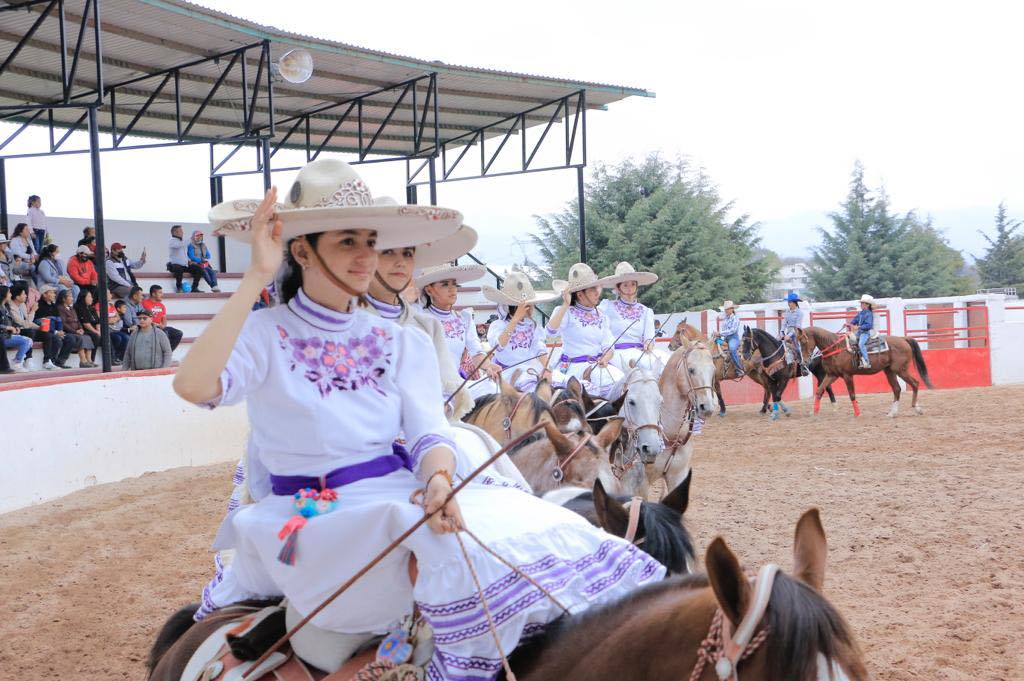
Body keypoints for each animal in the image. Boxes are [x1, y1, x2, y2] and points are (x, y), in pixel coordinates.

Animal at [802, 327, 933, 417]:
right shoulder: (832, 375)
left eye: (803, 341)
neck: (836, 348)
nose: (805, 361)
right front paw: (814, 412)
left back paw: (917, 408)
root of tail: (903, 339)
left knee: (915, 383)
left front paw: (857, 413)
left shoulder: (847, 375)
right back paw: (892, 413)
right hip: (889, 371)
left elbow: (852, 394)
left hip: (900, 370)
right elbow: (819, 390)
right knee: (897, 389)